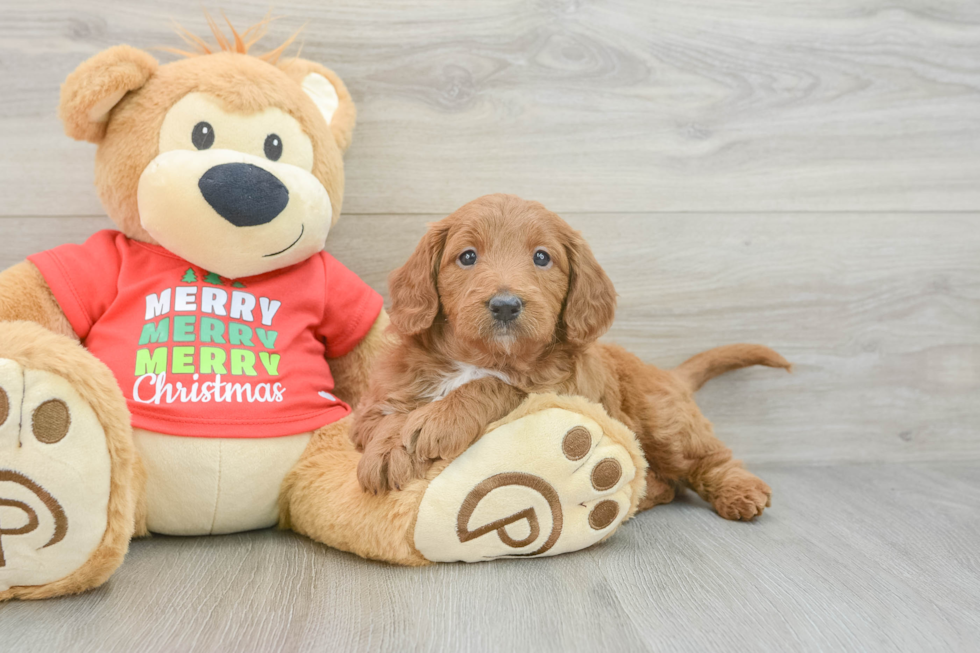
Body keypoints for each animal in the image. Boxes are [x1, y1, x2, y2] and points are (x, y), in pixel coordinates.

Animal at [352, 194, 788, 520]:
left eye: (542, 258)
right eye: (468, 257)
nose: (506, 305)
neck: (482, 357)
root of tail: (667, 374)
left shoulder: (561, 392)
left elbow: (498, 386)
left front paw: (438, 420)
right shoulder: (376, 403)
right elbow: (383, 419)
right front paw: (390, 448)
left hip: (664, 422)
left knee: (708, 458)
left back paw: (741, 492)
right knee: (667, 482)